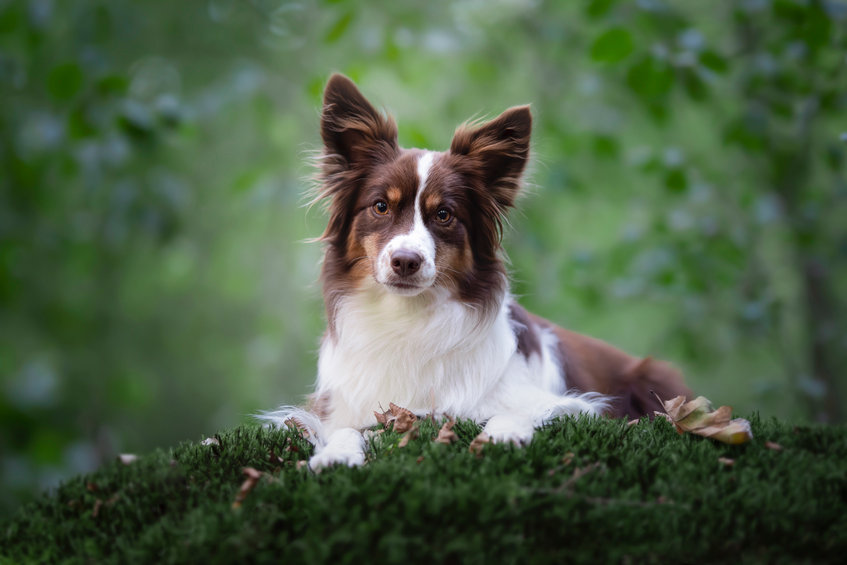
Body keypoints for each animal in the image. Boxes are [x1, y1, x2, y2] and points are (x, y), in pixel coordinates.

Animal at [268, 75, 692, 470]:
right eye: (380, 207)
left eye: (444, 214)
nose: (405, 261)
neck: (408, 318)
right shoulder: (336, 408)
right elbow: (343, 429)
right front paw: (336, 454)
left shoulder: (573, 405)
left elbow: (510, 411)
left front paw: (502, 435)